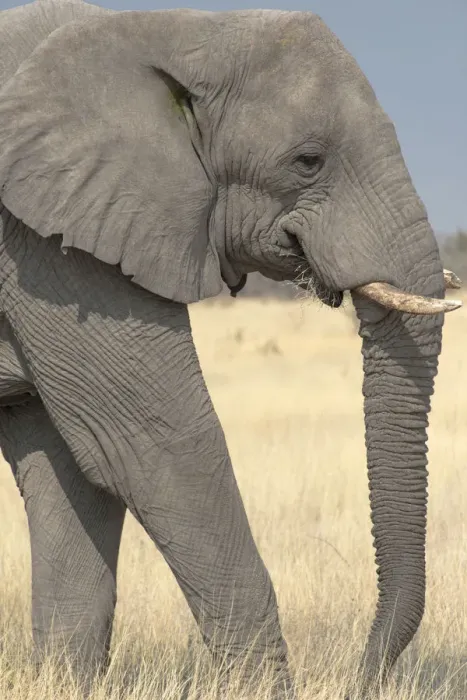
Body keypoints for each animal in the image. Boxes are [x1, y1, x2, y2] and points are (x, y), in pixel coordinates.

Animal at [0, 0, 462, 697]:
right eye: (308, 161)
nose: (360, 674)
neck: (177, 29)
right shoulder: (46, 249)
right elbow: (152, 448)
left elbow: (69, 470)